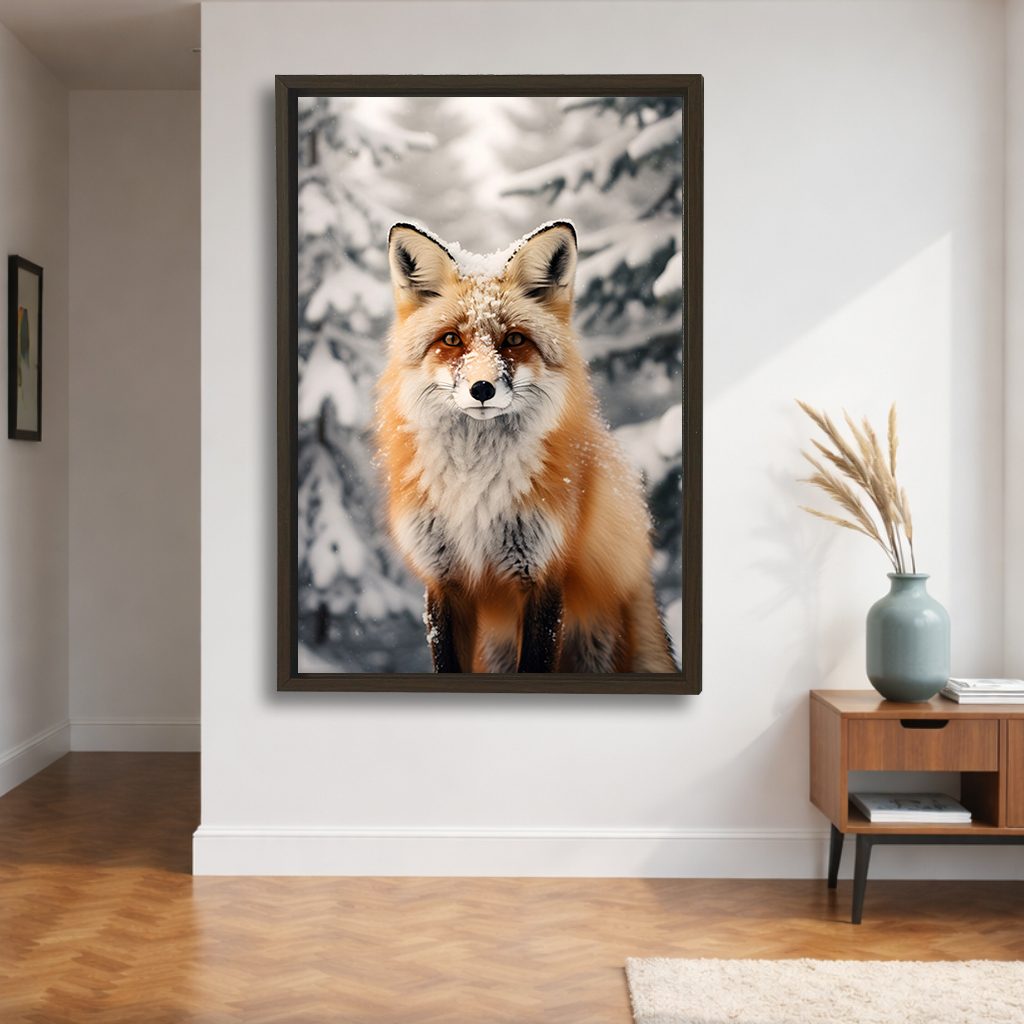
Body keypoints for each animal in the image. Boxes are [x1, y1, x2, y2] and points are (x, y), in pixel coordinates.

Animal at [374, 220, 677, 674]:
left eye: (514, 339)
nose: (482, 389)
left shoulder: (544, 574)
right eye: (452, 339)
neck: (475, 486)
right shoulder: (443, 579)